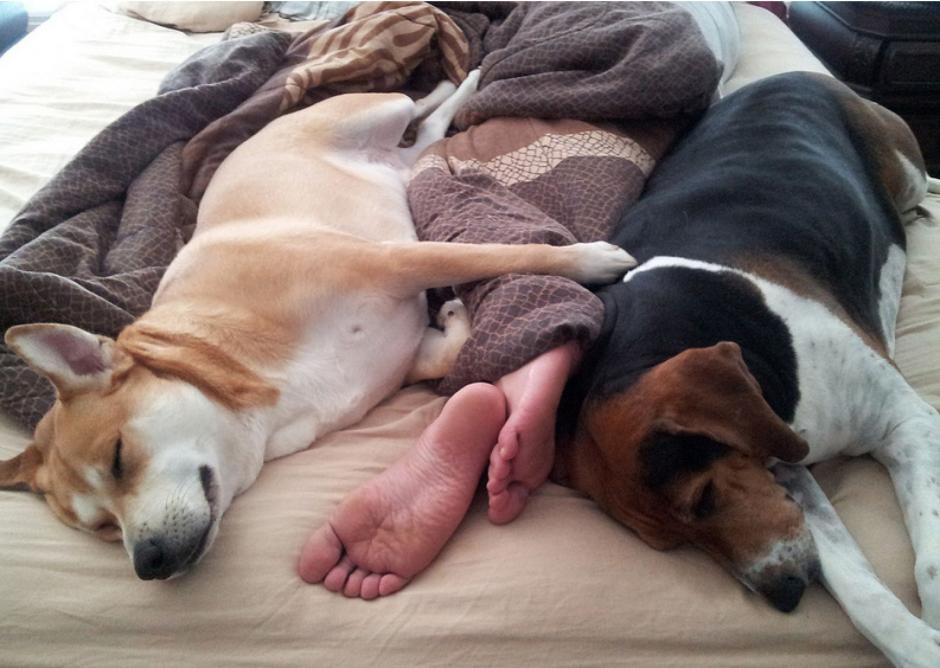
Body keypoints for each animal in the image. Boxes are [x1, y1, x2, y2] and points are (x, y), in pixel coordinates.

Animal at [1, 73, 640, 580]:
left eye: (118, 457)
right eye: (103, 529)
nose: (149, 564)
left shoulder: (393, 262)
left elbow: (506, 255)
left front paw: (589, 260)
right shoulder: (407, 349)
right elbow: (445, 349)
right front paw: (458, 316)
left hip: (379, 108)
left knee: (420, 105)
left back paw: (460, 75)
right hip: (402, 160)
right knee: (426, 137)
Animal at [556, 73, 940, 668]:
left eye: (703, 499)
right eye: (675, 544)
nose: (786, 595)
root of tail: (792, 74)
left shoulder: (909, 424)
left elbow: (931, 560)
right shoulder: (781, 472)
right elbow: (859, 590)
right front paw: (915, 643)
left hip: (906, 171)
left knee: (920, 191)